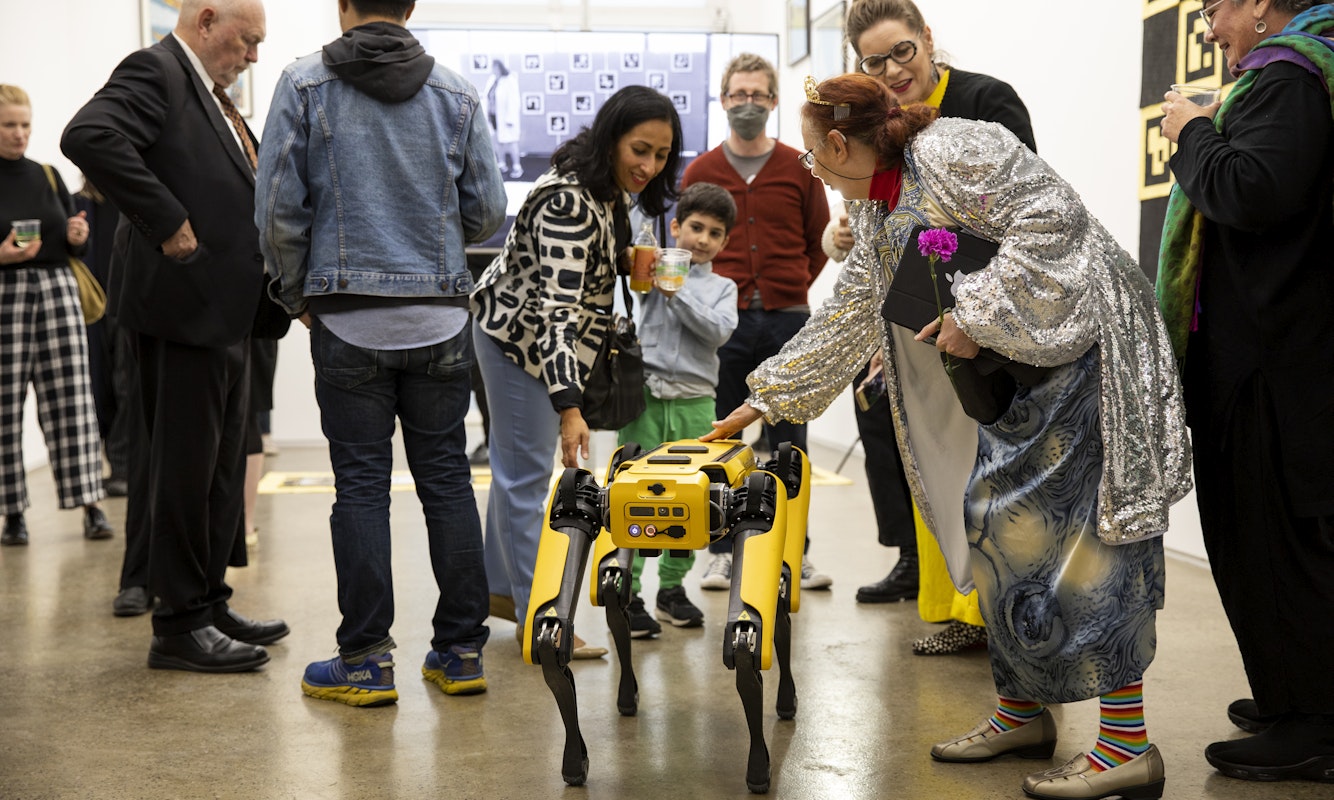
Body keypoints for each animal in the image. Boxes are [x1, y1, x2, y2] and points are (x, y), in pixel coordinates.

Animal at [520, 437, 811, 794]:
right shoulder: (582, 503)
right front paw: (576, 762)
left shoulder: (756, 504)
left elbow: (750, 634)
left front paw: (759, 769)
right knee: (610, 588)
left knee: (777, 596)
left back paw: (781, 703)